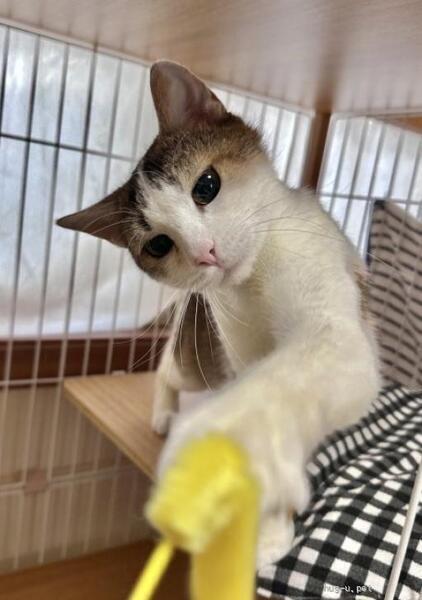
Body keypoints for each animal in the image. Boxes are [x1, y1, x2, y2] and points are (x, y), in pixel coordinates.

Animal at [57, 60, 380, 568]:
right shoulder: (237, 348)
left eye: (206, 185)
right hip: (200, 353)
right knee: (169, 368)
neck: (256, 281)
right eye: (159, 245)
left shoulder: (337, 326)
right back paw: (164, 413)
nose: (205, 253)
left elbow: (288, 388)